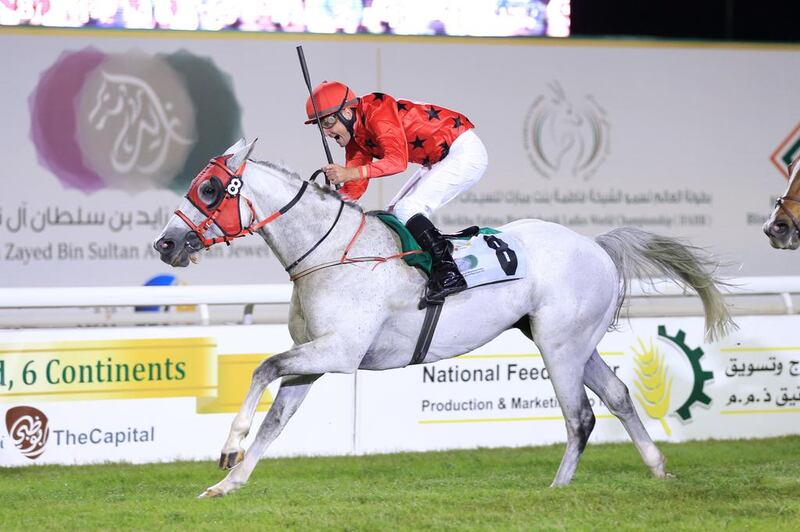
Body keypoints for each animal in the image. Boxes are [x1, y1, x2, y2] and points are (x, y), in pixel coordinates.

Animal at [153, 139, 736, 496]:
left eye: (209, 189)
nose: (166, 243)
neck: (331, 252)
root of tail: (594, 244)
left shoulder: (339, 352)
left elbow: (262, 368)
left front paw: (229, 447)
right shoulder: (314, 360)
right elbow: (276, 419)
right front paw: (227, 483)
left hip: (559, 345)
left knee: (580, 417)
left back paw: (557, 489)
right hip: (574, 342)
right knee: (616, 396)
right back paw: (657, 469)